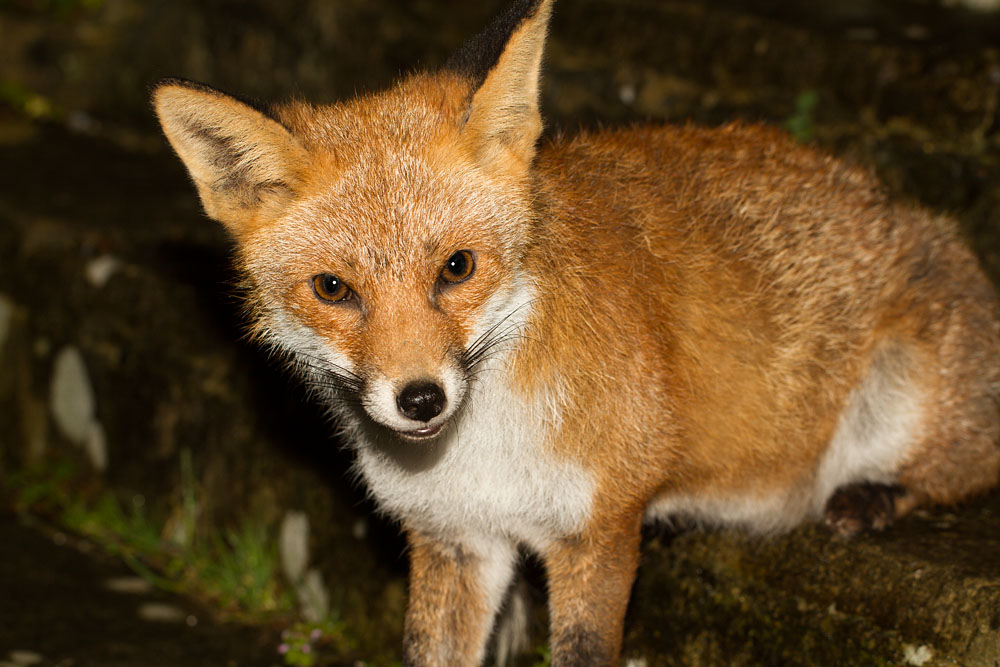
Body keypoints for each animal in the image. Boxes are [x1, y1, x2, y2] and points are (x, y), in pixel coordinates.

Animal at [152, 0, 1000, 664]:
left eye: (457, 267)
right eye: (333, 288)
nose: (421, 399)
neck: (485, 450)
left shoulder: (599, 530)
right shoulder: (456, 539)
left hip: (903, 395)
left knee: (968, 462)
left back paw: (872, 493)